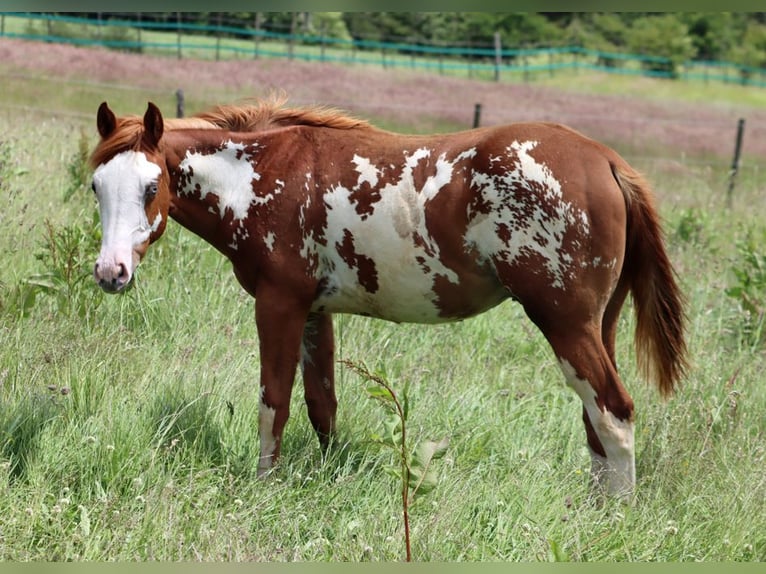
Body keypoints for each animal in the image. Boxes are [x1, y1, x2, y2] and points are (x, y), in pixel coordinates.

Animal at [88, 95, 687, 498]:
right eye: (96, 186)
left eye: (151, 187)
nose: (111, 272)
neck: (259, 176)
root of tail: (607, 161)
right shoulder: (314, 311)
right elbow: (322, 405)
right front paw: (327, 480)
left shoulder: (278, 305)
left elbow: (274, 402)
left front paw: (264, 488)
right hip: (595, 325)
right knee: (595, 420)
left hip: (564, 323)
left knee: (613, 412)